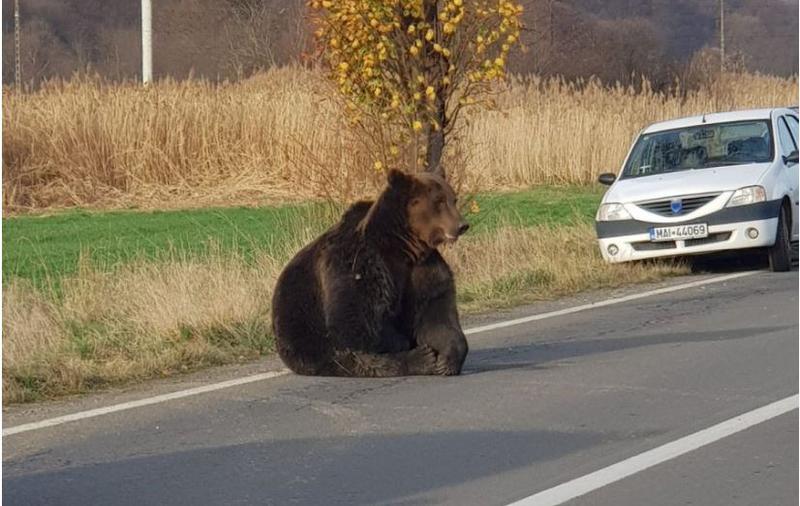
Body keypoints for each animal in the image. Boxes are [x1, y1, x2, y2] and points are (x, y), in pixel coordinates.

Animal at [272, 169, 468, 376]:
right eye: (439, 201)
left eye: (453, 198)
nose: (462, 225)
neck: (403, 247)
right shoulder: (358, 264)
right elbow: (354, 322)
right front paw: (420, 353)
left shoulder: (423, 271)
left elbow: (435, 314)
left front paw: (447, 360)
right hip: (305, 336)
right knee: (356, 358)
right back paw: (420, 359)